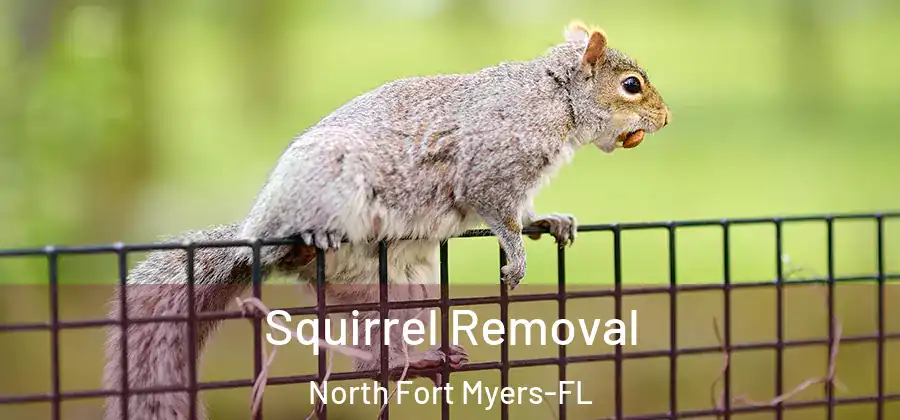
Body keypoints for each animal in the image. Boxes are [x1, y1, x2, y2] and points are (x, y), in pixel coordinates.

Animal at [102, 20, 670, 420]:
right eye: (631, 85)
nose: (665, 120)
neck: (554, 98)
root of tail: (252, 236)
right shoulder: (489, 167)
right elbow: (497, 213)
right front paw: (516, 256)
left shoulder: (519, 183)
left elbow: (525, 211)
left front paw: (549, 222)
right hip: (325, 187)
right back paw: (307, 239)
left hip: (400, 290)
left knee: (373, 358)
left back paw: (416, 361)